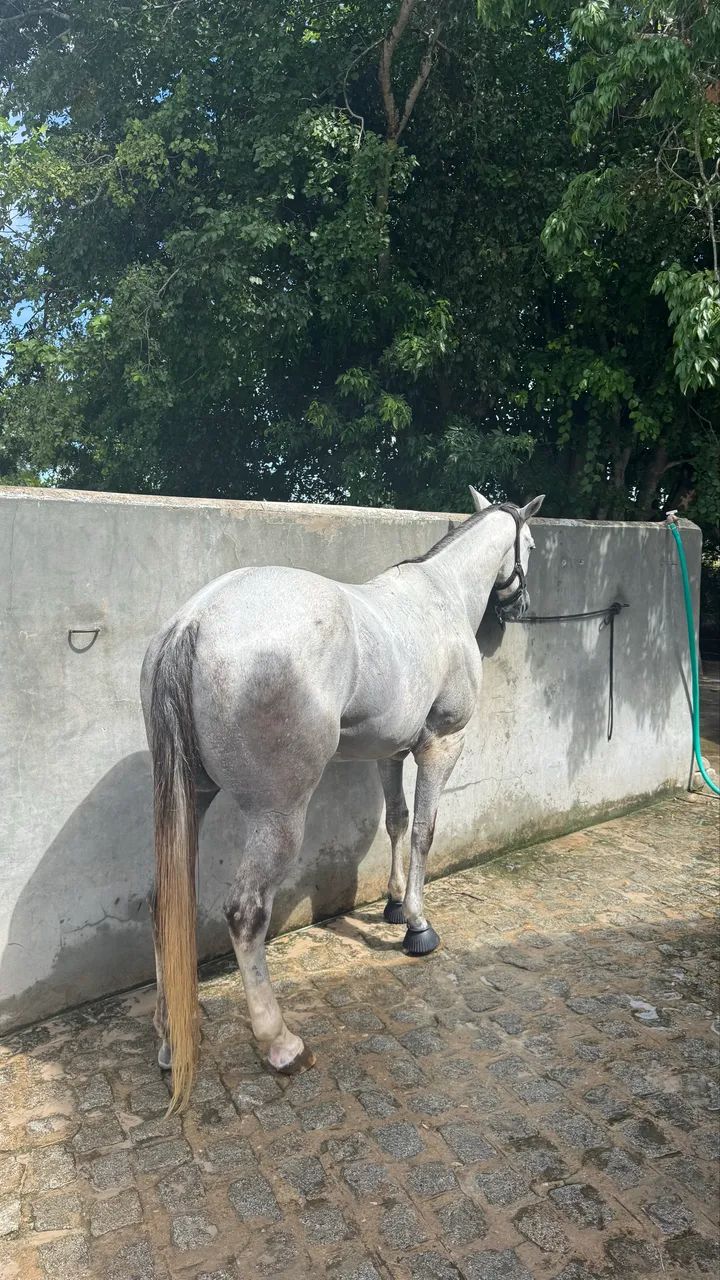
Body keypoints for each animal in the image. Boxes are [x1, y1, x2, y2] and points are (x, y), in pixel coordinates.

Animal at [141, 487, 544, 1110]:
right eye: (534, 544)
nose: (522, 605)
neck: (441, 597)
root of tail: (194, 622)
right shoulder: (441, 744)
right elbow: (425, 830)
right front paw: (418, 928)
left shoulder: (390, 750)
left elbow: (398, 821)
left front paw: (395, 903)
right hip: (278, 815)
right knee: (245, 912)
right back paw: (280, 1043)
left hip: (193, 798)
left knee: (166, 902)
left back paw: (170, 1037)